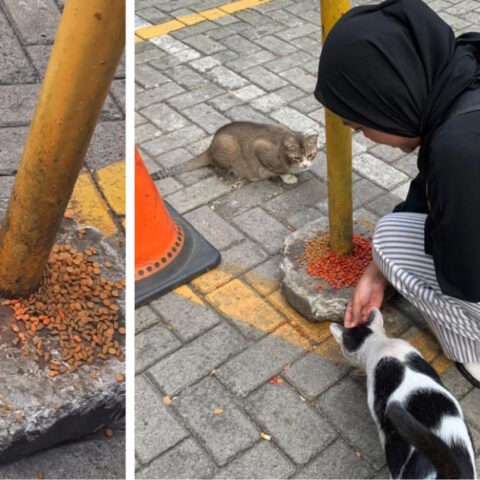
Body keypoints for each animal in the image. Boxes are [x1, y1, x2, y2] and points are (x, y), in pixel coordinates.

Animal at [152, 122, 316, 184]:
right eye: (296, 157)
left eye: (310, 155)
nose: (306, 165)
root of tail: (210, 148)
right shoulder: (260, 148)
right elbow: (279, 169)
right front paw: (288, 176)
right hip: (228, 144)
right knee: (217, 167)